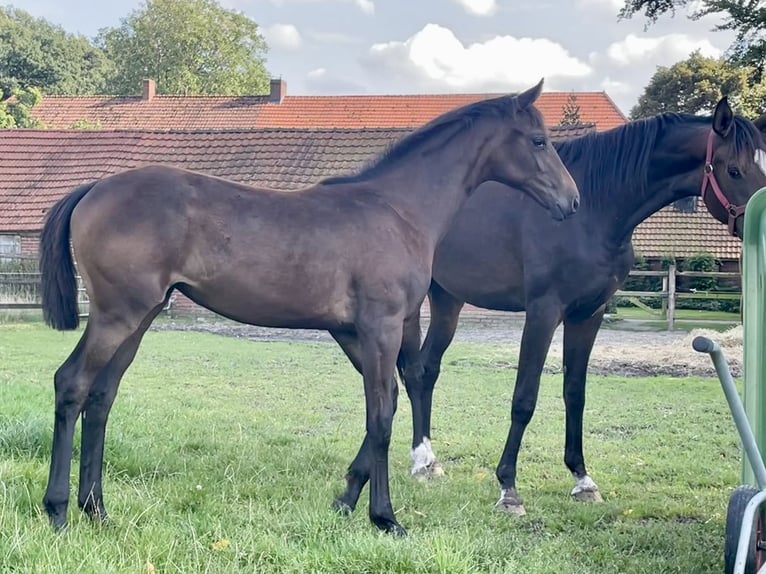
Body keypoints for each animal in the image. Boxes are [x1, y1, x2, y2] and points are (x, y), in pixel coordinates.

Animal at [34, 80, 576, 536]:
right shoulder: (380, 328)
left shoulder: (357, 332)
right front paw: (385, 517)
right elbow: (381, 416)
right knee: (72, 384)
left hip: (139, 318)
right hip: (117, 315)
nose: (571, 201)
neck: (399, 211)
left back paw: (97, 510)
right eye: (538, 141)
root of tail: (94, 189)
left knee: (101, 397)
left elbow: (386, 404)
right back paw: (59, 511)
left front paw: (347, 499)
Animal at [400, 98, 766, 516]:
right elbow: (524, 397)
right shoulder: (543, 312)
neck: (593, 210)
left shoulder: (588, 315)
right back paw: (420, 461)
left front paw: (583, 479)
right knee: (414, 371)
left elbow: (575, 392)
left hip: (448, 299)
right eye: (734, 168)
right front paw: (509, 488)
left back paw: (429, 461)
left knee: (427, 370)